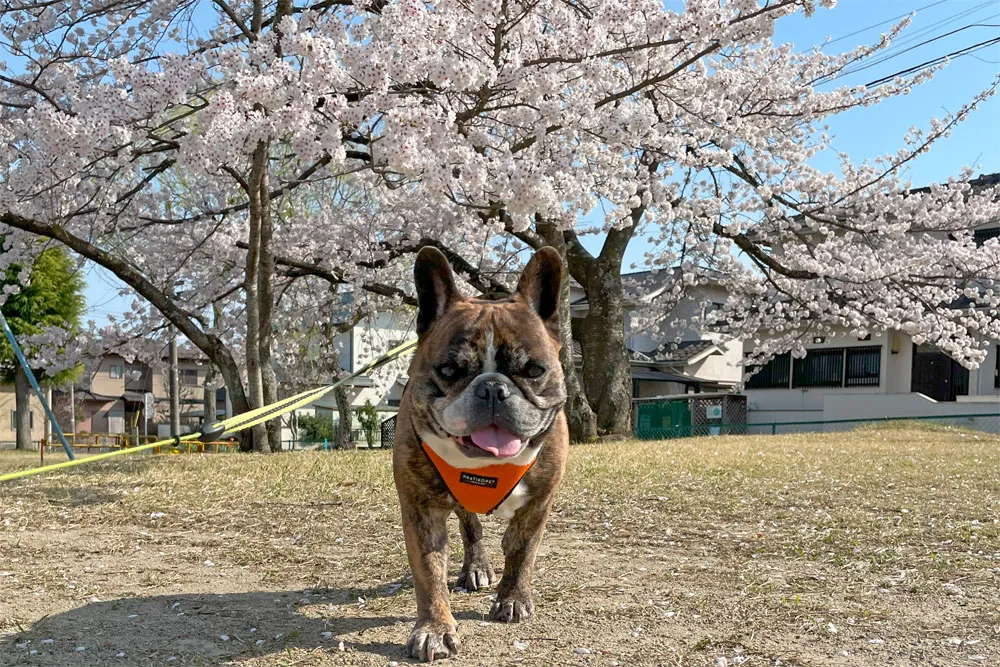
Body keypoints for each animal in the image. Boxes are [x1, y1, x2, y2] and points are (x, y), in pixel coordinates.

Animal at [392, 247, 572, 664]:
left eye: (534, 370)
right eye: (449, 370)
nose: (492, 388)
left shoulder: (539, 502)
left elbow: (522, 549)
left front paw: (512, 599)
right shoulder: (420, 510)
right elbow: (429, 572)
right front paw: (434, 629)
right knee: (470, 527)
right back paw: (475, 567)